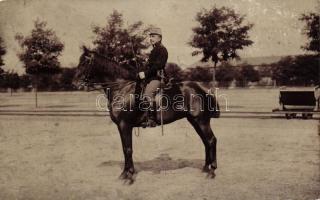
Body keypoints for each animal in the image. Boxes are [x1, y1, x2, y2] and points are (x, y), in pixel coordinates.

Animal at [74, 46, 220, 183]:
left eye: (84, 62)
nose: (75, 83)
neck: (122, 88)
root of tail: (200, 89)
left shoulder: (124, 125)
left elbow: (128, 149)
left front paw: (129, 176)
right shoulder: (121, 127)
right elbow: (125, 149)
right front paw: (124, 174)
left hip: (201, 121)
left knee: (211, 140)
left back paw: (212, 171)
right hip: (194, 121)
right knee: (205, 141)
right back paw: (205, 168)